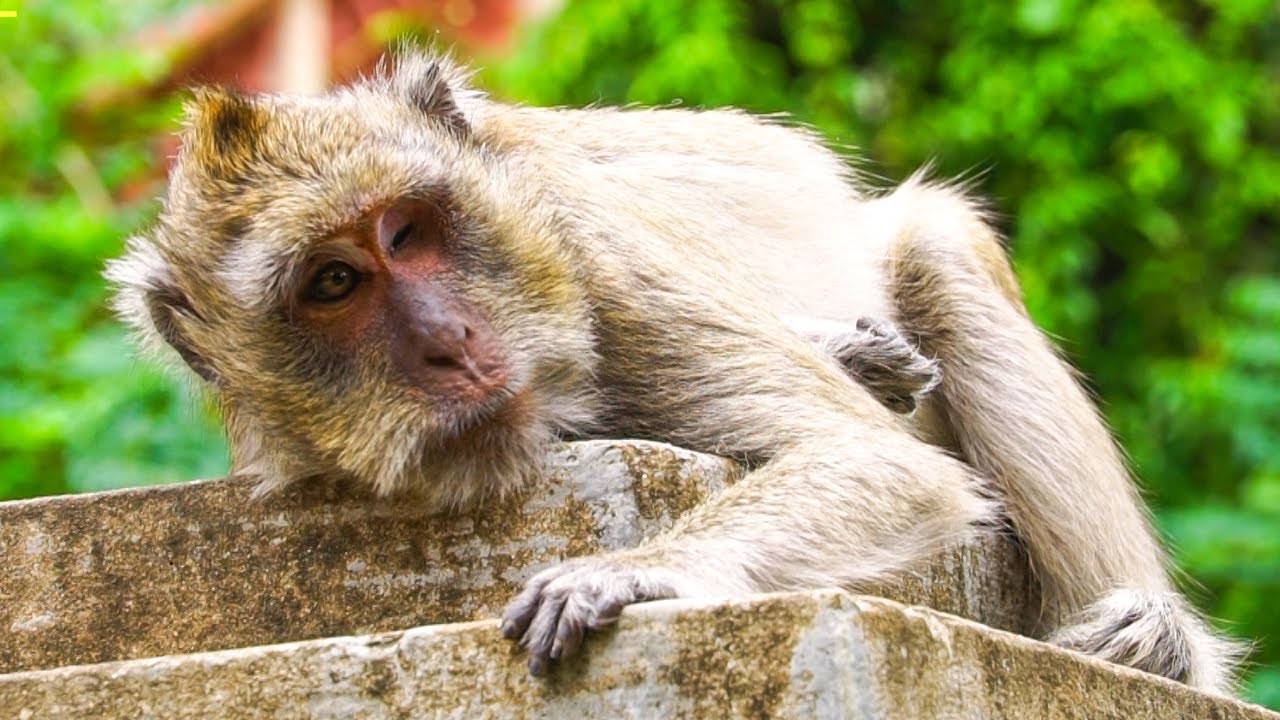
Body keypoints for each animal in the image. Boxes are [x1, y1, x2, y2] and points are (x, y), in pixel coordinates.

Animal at [106, 50, 1243, 693]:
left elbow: (876, 463)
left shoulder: (596, 257)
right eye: (334, 282)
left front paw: (636, 571)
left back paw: (1158, 644)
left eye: (409, 230)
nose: (447, 341)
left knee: (935, 251)